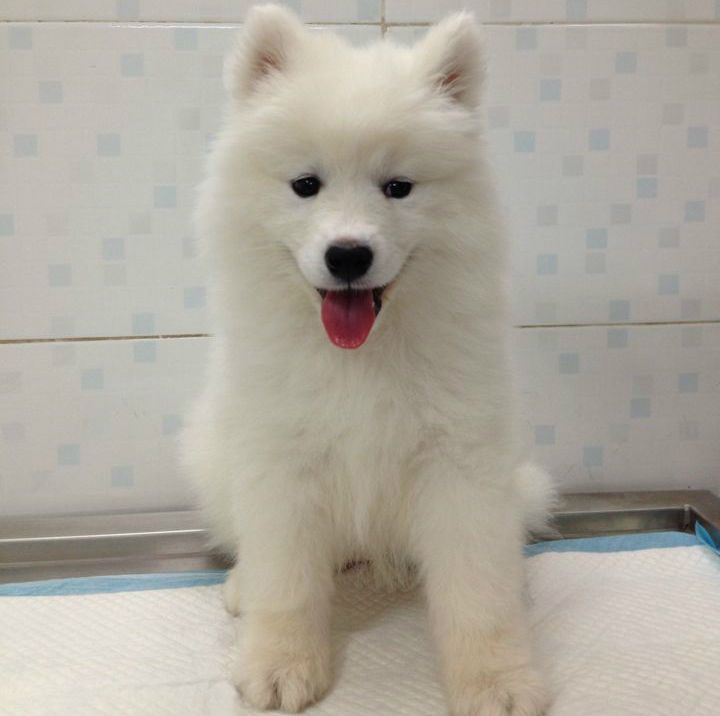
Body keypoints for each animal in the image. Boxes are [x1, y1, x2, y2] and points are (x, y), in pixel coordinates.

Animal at [180, 6, 554, 714]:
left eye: (398, 187)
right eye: (305, 185)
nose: (348, 255)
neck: (360, 356)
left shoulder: (459, 464)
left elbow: (476, 593)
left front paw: (494, 681)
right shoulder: (281, 461)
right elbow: (287, 582)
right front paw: (280, 666)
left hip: (516, 481)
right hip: (213, 460)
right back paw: (242, 587)